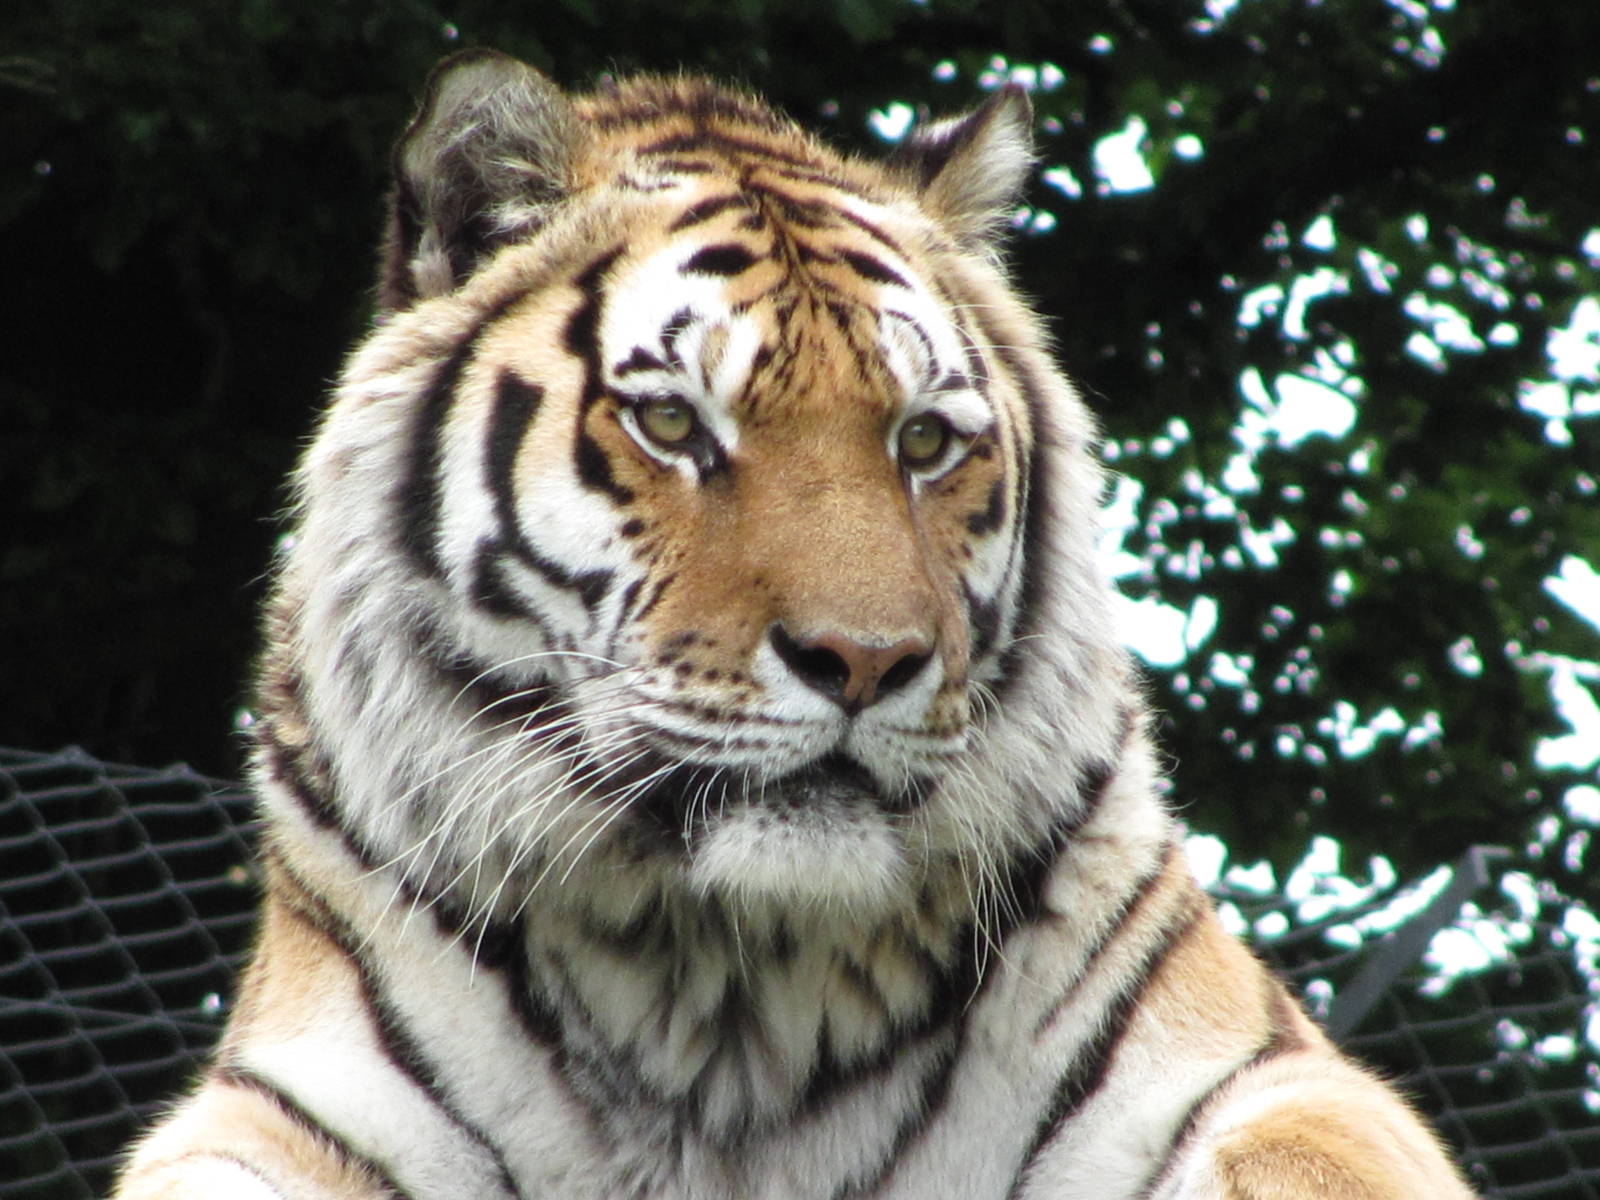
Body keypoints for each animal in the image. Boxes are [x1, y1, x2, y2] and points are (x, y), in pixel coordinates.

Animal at [112, 48, 1479, 1200]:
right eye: (672, 425)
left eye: (921, 442)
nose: (864, 663)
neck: (728, 987)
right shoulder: (285, 1109)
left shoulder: (1260, 1075)